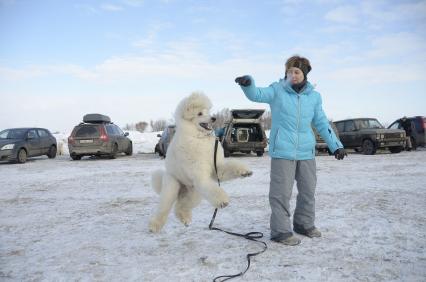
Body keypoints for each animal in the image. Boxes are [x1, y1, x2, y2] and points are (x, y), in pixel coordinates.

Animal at [149, 92, 253, 234]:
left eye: (207, 111)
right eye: (199, 113)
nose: (214, 118)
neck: (199, 138)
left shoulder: (216, 169)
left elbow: (228, 168)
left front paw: (244, 172)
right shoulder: (200, 176)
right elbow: (214, 190)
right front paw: (223, 201)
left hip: (194, 193)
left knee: (180, 206)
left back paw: (185, 219)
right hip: (172, 187)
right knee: (164, 208)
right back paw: (154, 226)